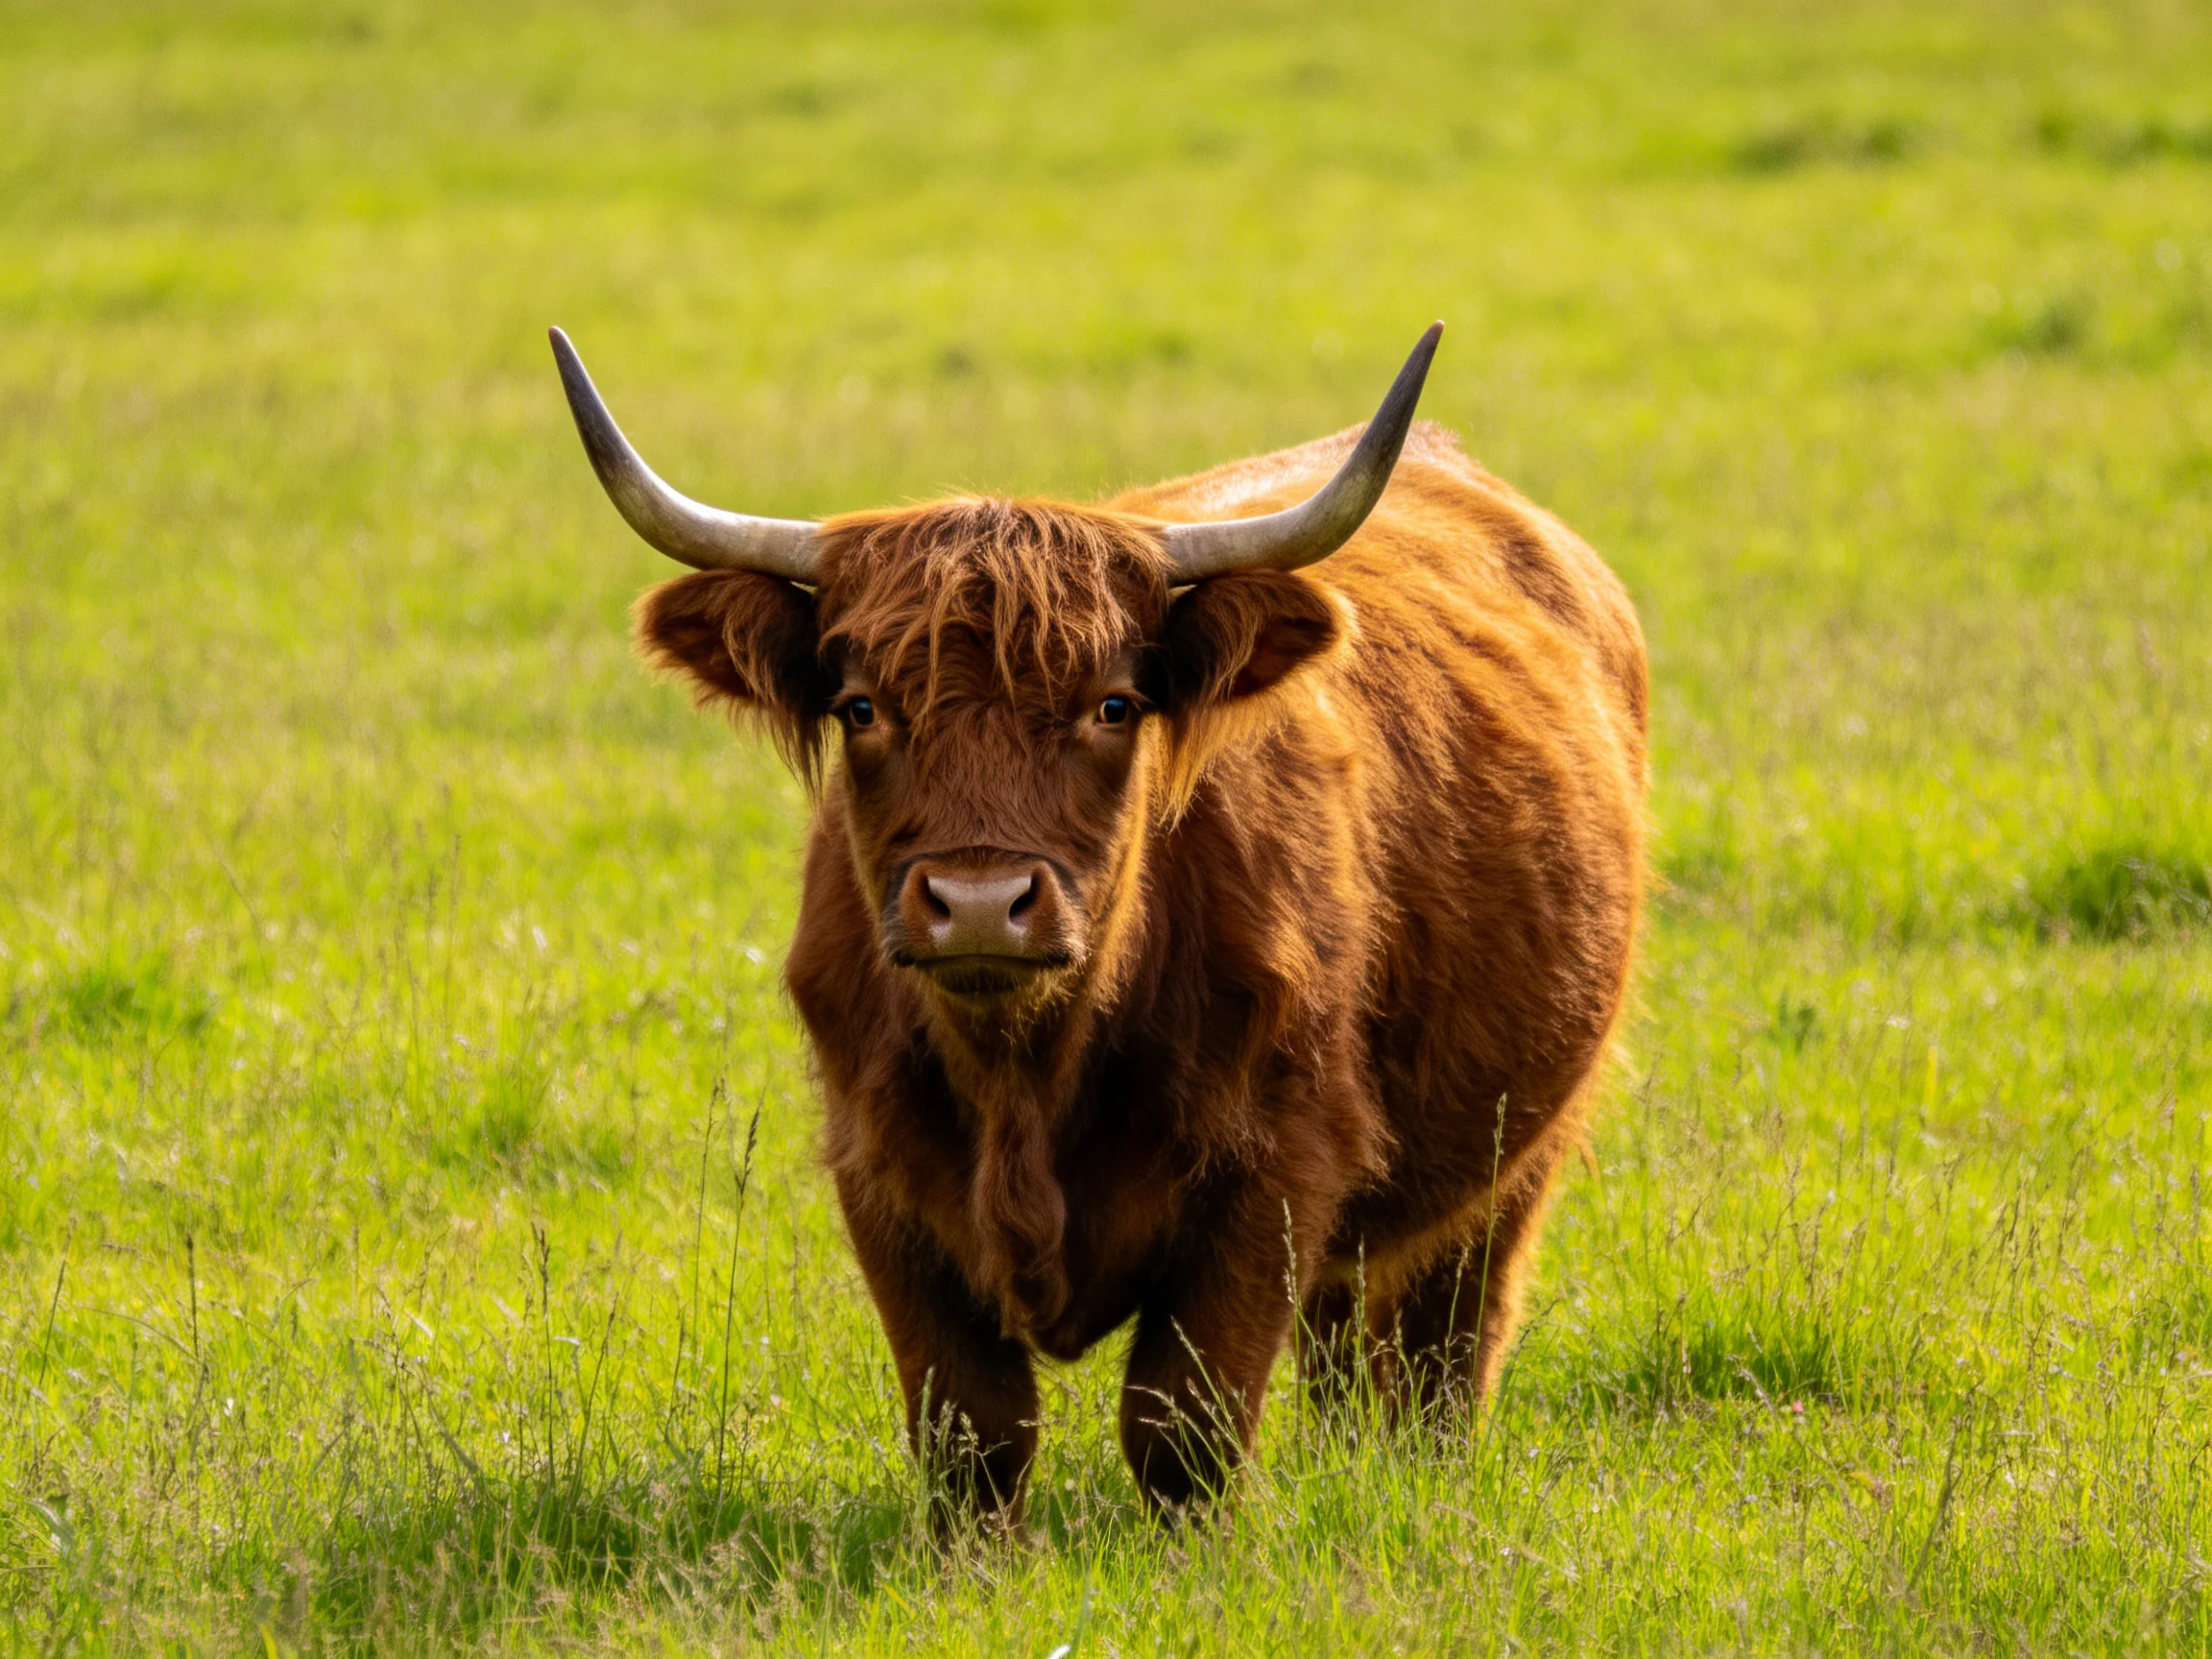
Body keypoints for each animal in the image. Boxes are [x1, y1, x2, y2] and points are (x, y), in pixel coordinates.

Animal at [549, 322, 1647, 1521]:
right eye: (861, 707)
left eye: (1114, 705)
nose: (981, 904)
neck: (1025, 1077)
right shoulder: (879, 1171)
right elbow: (973, 1432)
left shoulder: (1275, 1169)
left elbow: (1183, 1426)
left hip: (1518, 1150)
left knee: (1445, 1347)